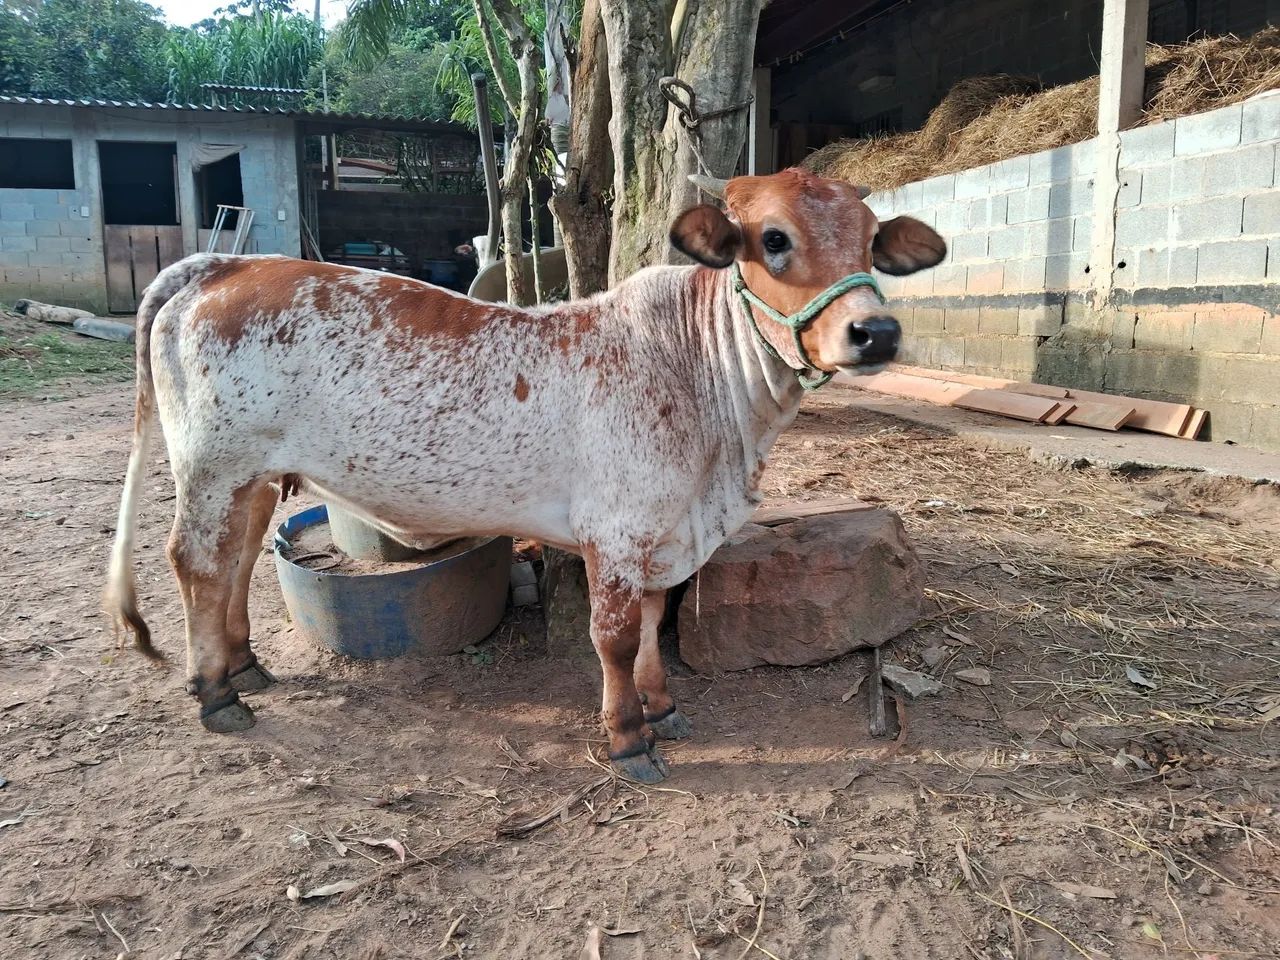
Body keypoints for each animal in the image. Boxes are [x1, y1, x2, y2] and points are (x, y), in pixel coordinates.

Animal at [105, 168, 945, 783]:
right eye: (774, 238)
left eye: (871, 241)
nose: (876, 332)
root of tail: (228, 264)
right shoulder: (616, 533)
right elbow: (615, 636)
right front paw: (628, 737)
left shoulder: (663, 532)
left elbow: (654, 618)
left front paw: (662, 706)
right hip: (213, 465)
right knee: (195, 563)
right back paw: (214, 691)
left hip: (253, 475)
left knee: (239, 559)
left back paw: (243, 664)